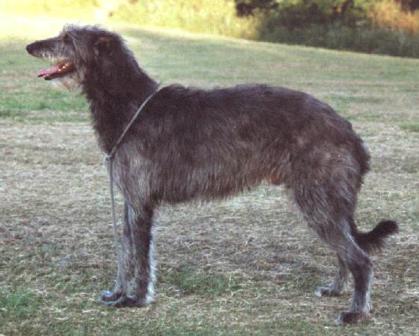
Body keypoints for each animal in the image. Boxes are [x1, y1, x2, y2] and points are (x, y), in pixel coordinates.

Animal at [24, 25, 398, 324]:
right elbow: (127, 250)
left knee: (361, 259)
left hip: (318, 198)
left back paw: (356, 312)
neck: (130, 104)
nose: (29, 46)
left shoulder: (141, 200)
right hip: (325, 201)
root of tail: (349, 131)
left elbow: (141, 255)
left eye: (67, 39)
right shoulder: (131, 199)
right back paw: (336, 289)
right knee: (345, 251)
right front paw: (118, 292)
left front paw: (136, 298)